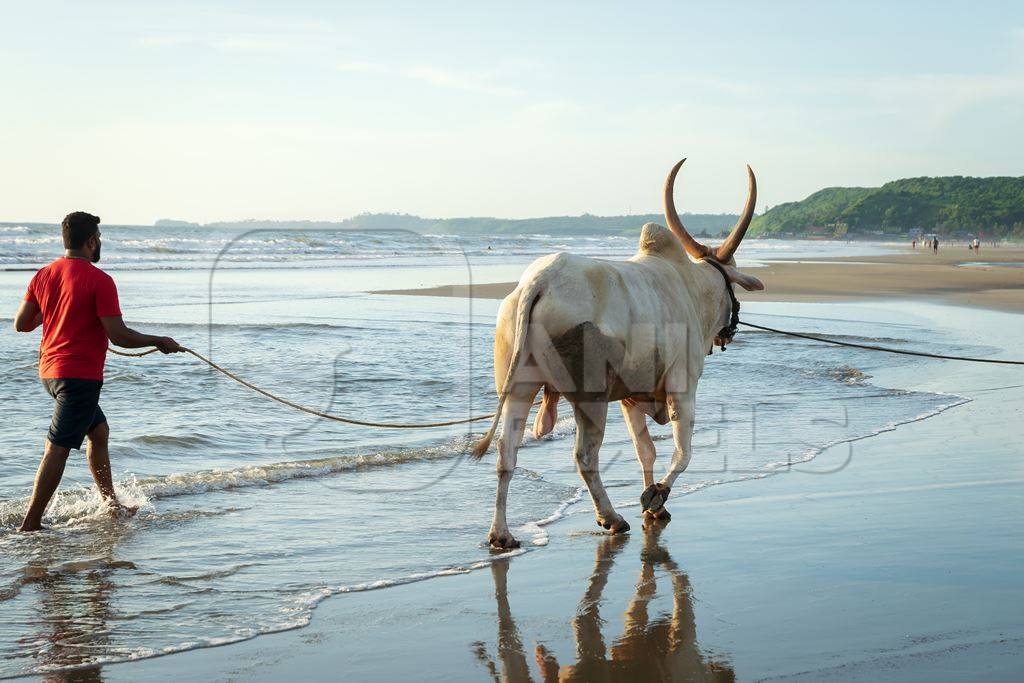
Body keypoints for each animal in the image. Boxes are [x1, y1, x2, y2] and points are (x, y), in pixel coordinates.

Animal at [468, 160, 765, 548]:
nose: (728, 332)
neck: (691, 287)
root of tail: (540, 281)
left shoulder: (629, 397)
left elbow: (645, 451)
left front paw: (656, 507)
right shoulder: (682, 386)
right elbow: (683, 451)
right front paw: (656, 495)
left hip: (519, 386)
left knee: (506, 453)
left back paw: (501, 534)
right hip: (591, 397)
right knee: (585, 456)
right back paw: (610, 517)